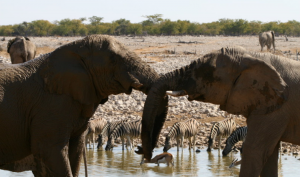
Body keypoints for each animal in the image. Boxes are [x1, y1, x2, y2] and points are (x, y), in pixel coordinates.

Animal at [0, 34, 166, 176]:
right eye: (113, 60)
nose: (140, 149)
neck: (75, 49)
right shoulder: (50, 106)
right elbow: (50, 151)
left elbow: (76, 151)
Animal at [138, 46, 300, 176]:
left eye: (205, 72)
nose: (143, 152)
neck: (253, 56)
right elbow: (269, 155)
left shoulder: (276, 110)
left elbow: (253, 150)